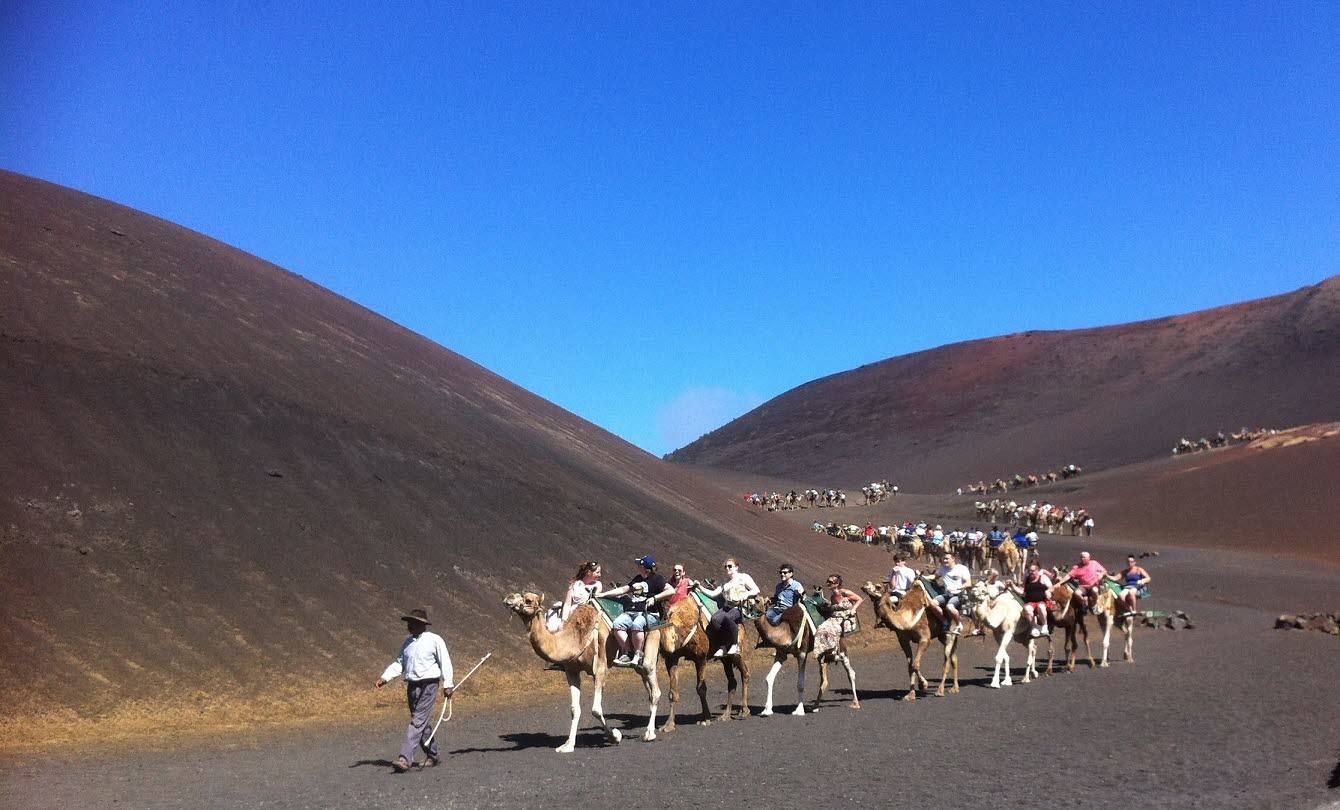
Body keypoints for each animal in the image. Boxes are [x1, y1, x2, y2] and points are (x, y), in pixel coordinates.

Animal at [503, 587, 661, 750]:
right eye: (518, 595)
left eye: (528, 600)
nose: (509, 598)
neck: (576, 638)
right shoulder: (571, 671)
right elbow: (574, 709)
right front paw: (568, 745)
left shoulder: (600, 668)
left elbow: (596, 710)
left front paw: (615, 736)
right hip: (639, 666)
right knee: (648, 688)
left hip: (651, 645)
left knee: (655, 690)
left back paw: (649, 734)